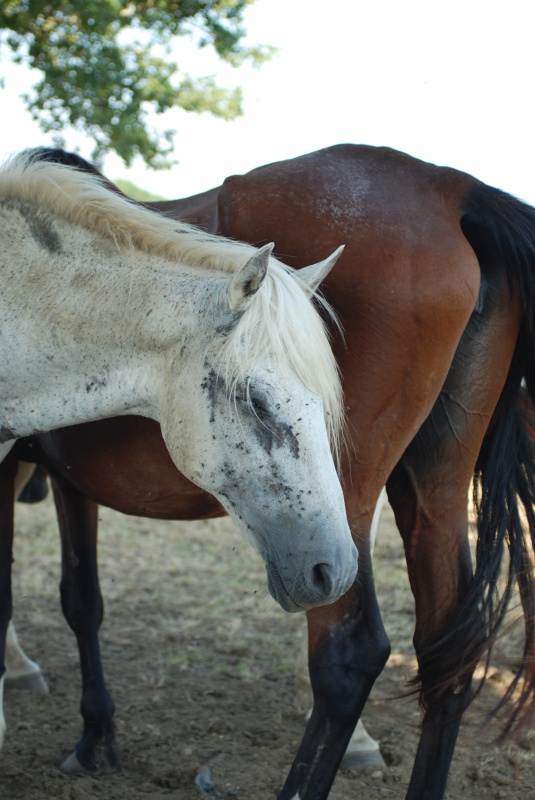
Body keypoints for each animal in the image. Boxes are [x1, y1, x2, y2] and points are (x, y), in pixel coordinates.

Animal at [9, 145, 535, 800]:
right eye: (258, 401)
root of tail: (454, 190)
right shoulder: (64, 477)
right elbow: (83, 599)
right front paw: (95, 735)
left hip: (354, 506)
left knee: (350, 654)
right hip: (434, 490)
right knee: (448, 654)